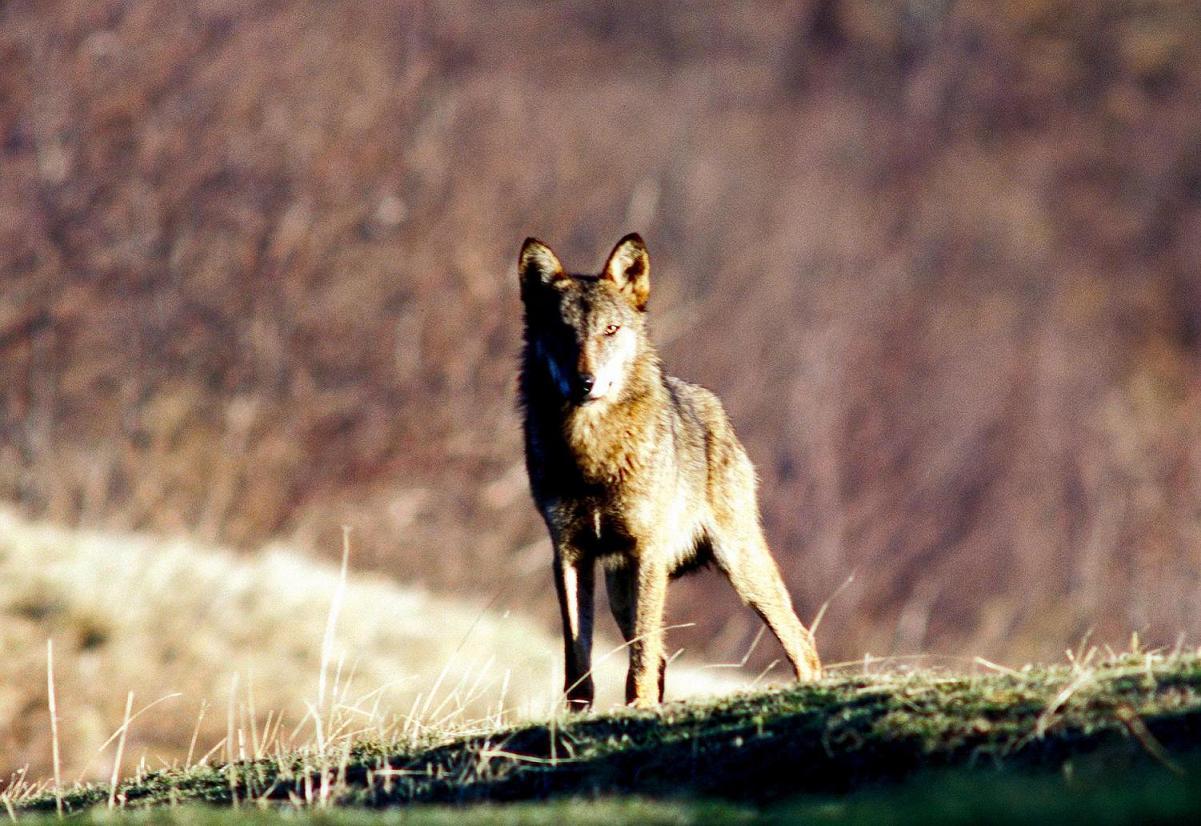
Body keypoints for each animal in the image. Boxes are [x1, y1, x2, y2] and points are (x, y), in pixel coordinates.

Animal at [521, 232, 821, 710]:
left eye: (610, 329)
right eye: (563, 332)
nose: (584, 383)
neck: (591, 452)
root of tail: (714, 407)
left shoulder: (647, 550)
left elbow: (641, 654)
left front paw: (639, 708)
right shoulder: (568, 553)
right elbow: (577, 660)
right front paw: (576, 718)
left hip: (739, 567)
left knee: (801, 640)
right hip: (621, 588)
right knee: (661, 658)